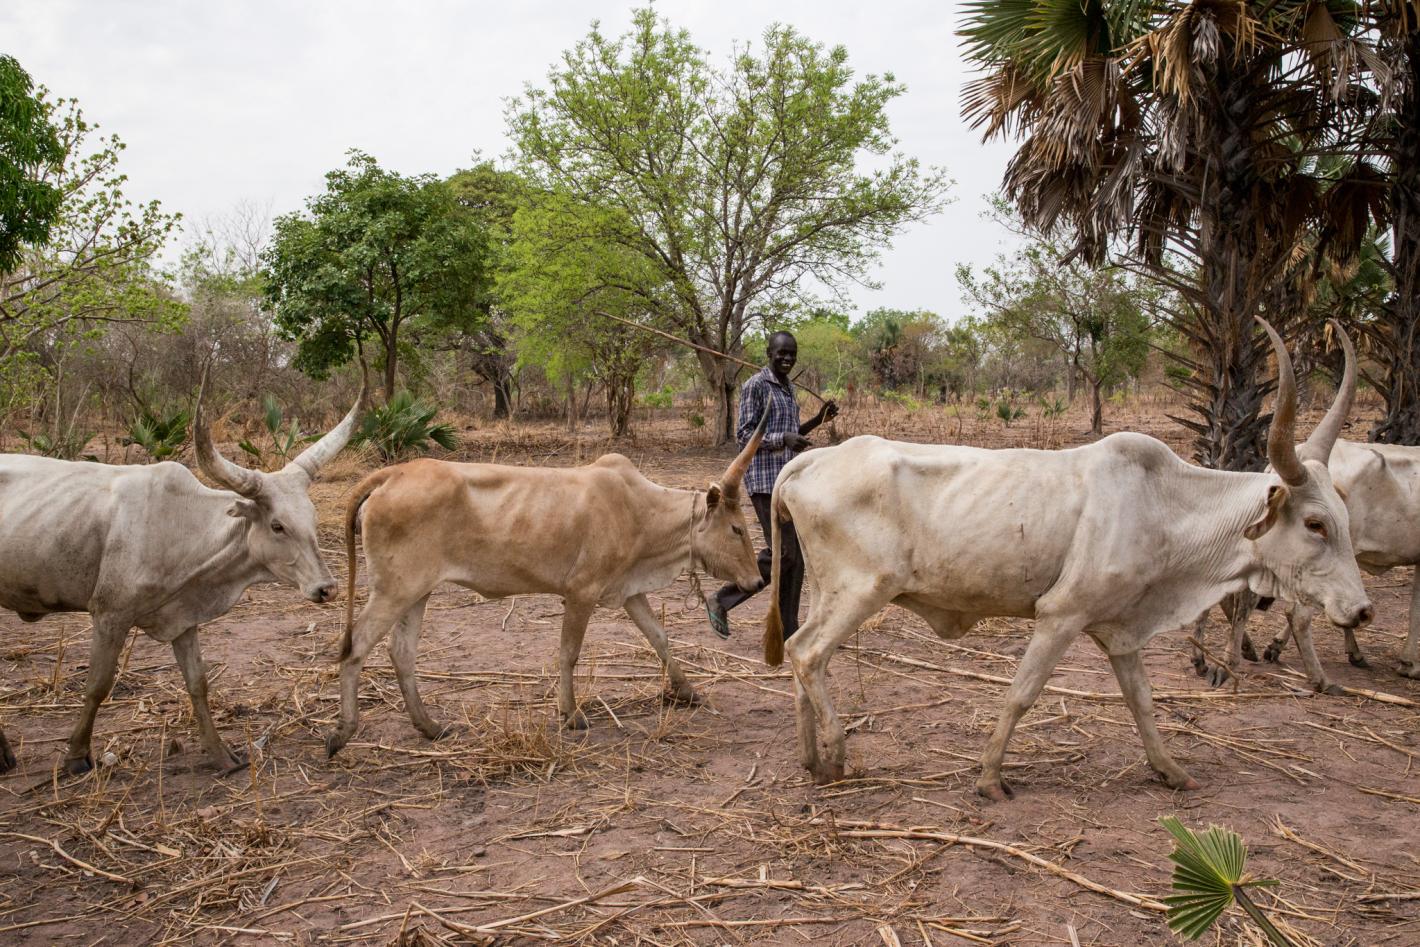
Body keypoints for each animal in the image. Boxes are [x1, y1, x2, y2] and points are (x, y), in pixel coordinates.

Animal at [0, 384, 362, 775]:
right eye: (277, 525)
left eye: (312, 517)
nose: (326, 588)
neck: (181, 524)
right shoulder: (110, 615)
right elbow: (97, 685)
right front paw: (77, 755)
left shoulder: (183, 618)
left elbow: (197, 683)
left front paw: (221, 755)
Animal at [323, 412, 770, 757]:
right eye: (736, 529)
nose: (755, 579)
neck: (640, 510)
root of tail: (392, 474)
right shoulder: (581, 593)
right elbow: (568, 653)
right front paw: (570, 714)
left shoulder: (629, 590)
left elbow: (659, 638)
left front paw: (687, 691)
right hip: (394, 590)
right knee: (356, 645)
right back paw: (343, 733)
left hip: (417, 592)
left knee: (401, 653)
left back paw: (430, 727)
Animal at [761, 319, 1371, 800]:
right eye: (1315, 524)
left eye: (1344, 516)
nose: (1362, 610)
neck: (1164, 505)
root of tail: (810, 461)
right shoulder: (1061, 615)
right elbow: (1021, 695)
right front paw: (990, 779)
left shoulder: (1120, 631)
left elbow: (1142, 702)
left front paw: (1171, 771)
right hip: (862, 590)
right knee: (808, 652)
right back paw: (835, 757)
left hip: (827, 590)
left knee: (798, 652)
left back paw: (810, 759)